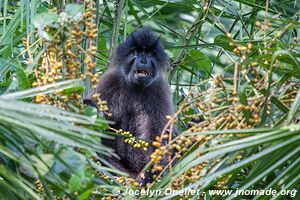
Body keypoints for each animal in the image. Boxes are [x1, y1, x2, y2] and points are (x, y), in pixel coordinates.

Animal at [84, 27, 173, 184]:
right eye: (136, 52)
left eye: (150, 54)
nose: (143, 60)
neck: (136, 87)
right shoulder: (111, 81)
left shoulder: (158, 91)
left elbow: (158, 137)